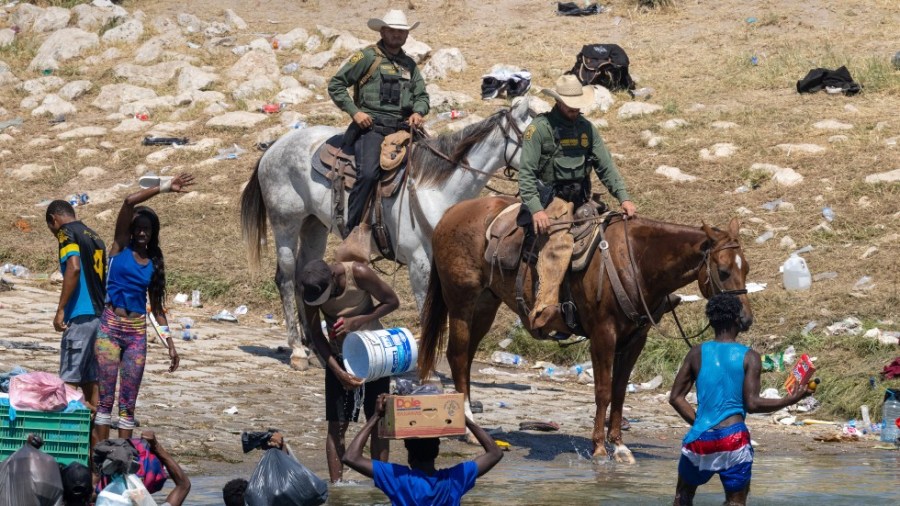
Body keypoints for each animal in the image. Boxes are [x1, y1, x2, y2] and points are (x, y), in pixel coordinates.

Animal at [239, 97, 536, 370]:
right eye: (531, 134)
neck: (436, 190)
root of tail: (275, 145)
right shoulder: (419, 263)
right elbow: (426, 311)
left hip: (314, 226)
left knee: (304, 276)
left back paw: (314, 349)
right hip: (286, 223)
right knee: (286, 278)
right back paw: (298, 351)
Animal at [416, 197, 752, 462]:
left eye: (745, 268)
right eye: (723, 271)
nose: (745, 319)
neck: (634, 261)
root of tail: (451, 213)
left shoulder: (635, 340)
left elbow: (619, 392)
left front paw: (619, 446)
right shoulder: (603, 335)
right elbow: (602, 391)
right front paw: (600, 447)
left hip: (486, 305)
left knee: (467, 357)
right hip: (462, 303)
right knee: (458, 356)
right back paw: (470, 428)